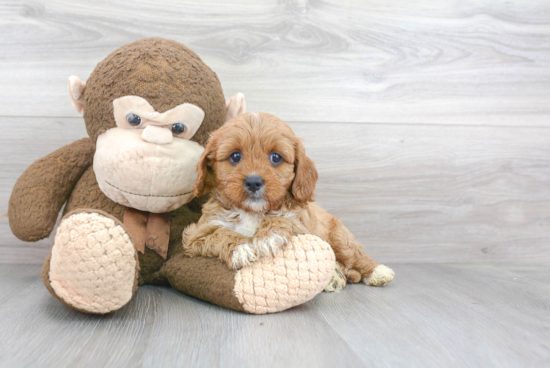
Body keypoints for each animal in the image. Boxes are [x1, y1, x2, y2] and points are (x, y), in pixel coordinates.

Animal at [185, 111, 396, 288]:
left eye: (276, 157)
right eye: (235, 156)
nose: (253, 182)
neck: (253, 212)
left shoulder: (304, 227)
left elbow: (283, 218)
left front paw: (268, 237)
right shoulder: (194, 236)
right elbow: (219, 233)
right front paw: (242, 249)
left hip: (341, 238)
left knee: (356, 255)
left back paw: (377, 271)